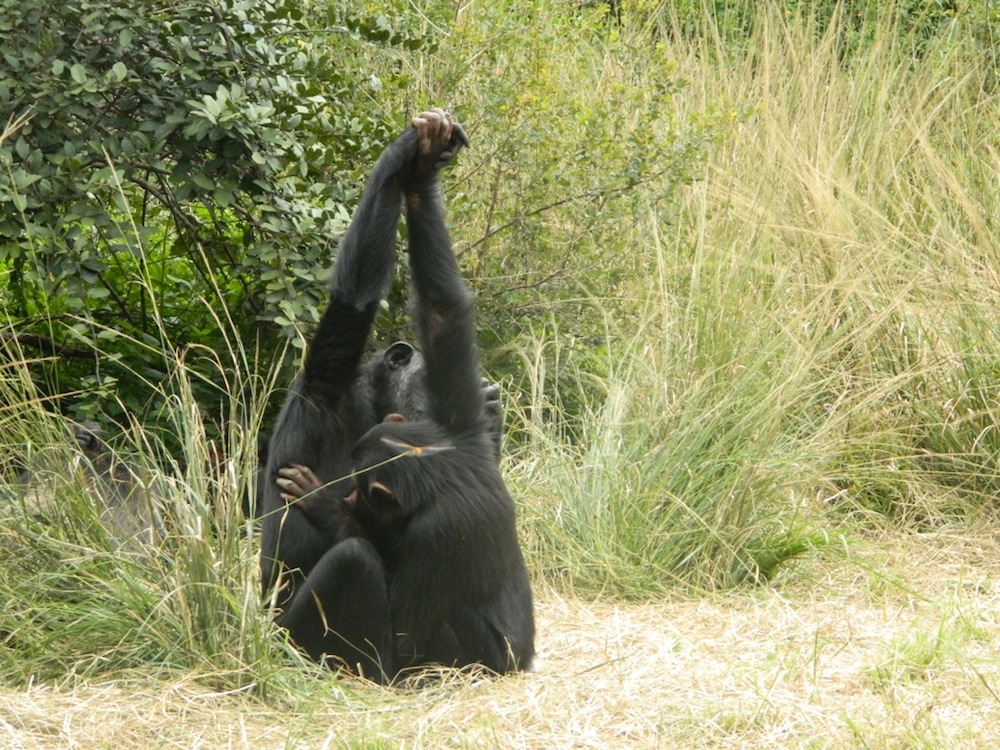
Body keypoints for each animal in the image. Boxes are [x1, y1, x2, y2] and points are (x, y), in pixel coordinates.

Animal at [262, 110, 536, 680]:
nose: (483, 394)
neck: (370, 402)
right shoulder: (325, 384)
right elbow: (353, 302)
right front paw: (404, 156)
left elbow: (442, 312)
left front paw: (422, 167)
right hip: (287, 641)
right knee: (354, 562)